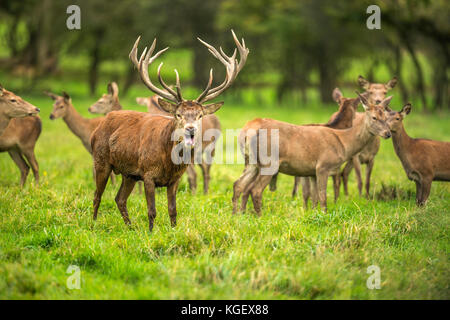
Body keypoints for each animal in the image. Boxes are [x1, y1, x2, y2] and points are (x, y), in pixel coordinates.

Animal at [89, 30, 248, 230]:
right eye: (178, 114)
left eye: (200, 115)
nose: (190, 129)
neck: (169, 162)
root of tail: (99, 126)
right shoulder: (148, 174)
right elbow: (152, 211)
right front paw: (150, 232)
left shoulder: (175, 179)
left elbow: (173, 210)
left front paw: (173, 230)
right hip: (101, 160)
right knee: (97, 195)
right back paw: (93, 225)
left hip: (129, 173)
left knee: (120, 199)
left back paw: (130, 227)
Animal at [234, 92, 392, 215]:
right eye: (374, 117)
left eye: (386, 117)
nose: (388, 133)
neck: (343, 143)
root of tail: (247, 130)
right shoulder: (323, 166)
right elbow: (322, 195)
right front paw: (325, 214)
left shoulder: (311, 172)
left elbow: (314, 197)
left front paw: (314, 214)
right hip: (269, 162)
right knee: (255, 189)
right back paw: (259, 216)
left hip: (251, 162)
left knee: (239, 184)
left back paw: (237, 214)